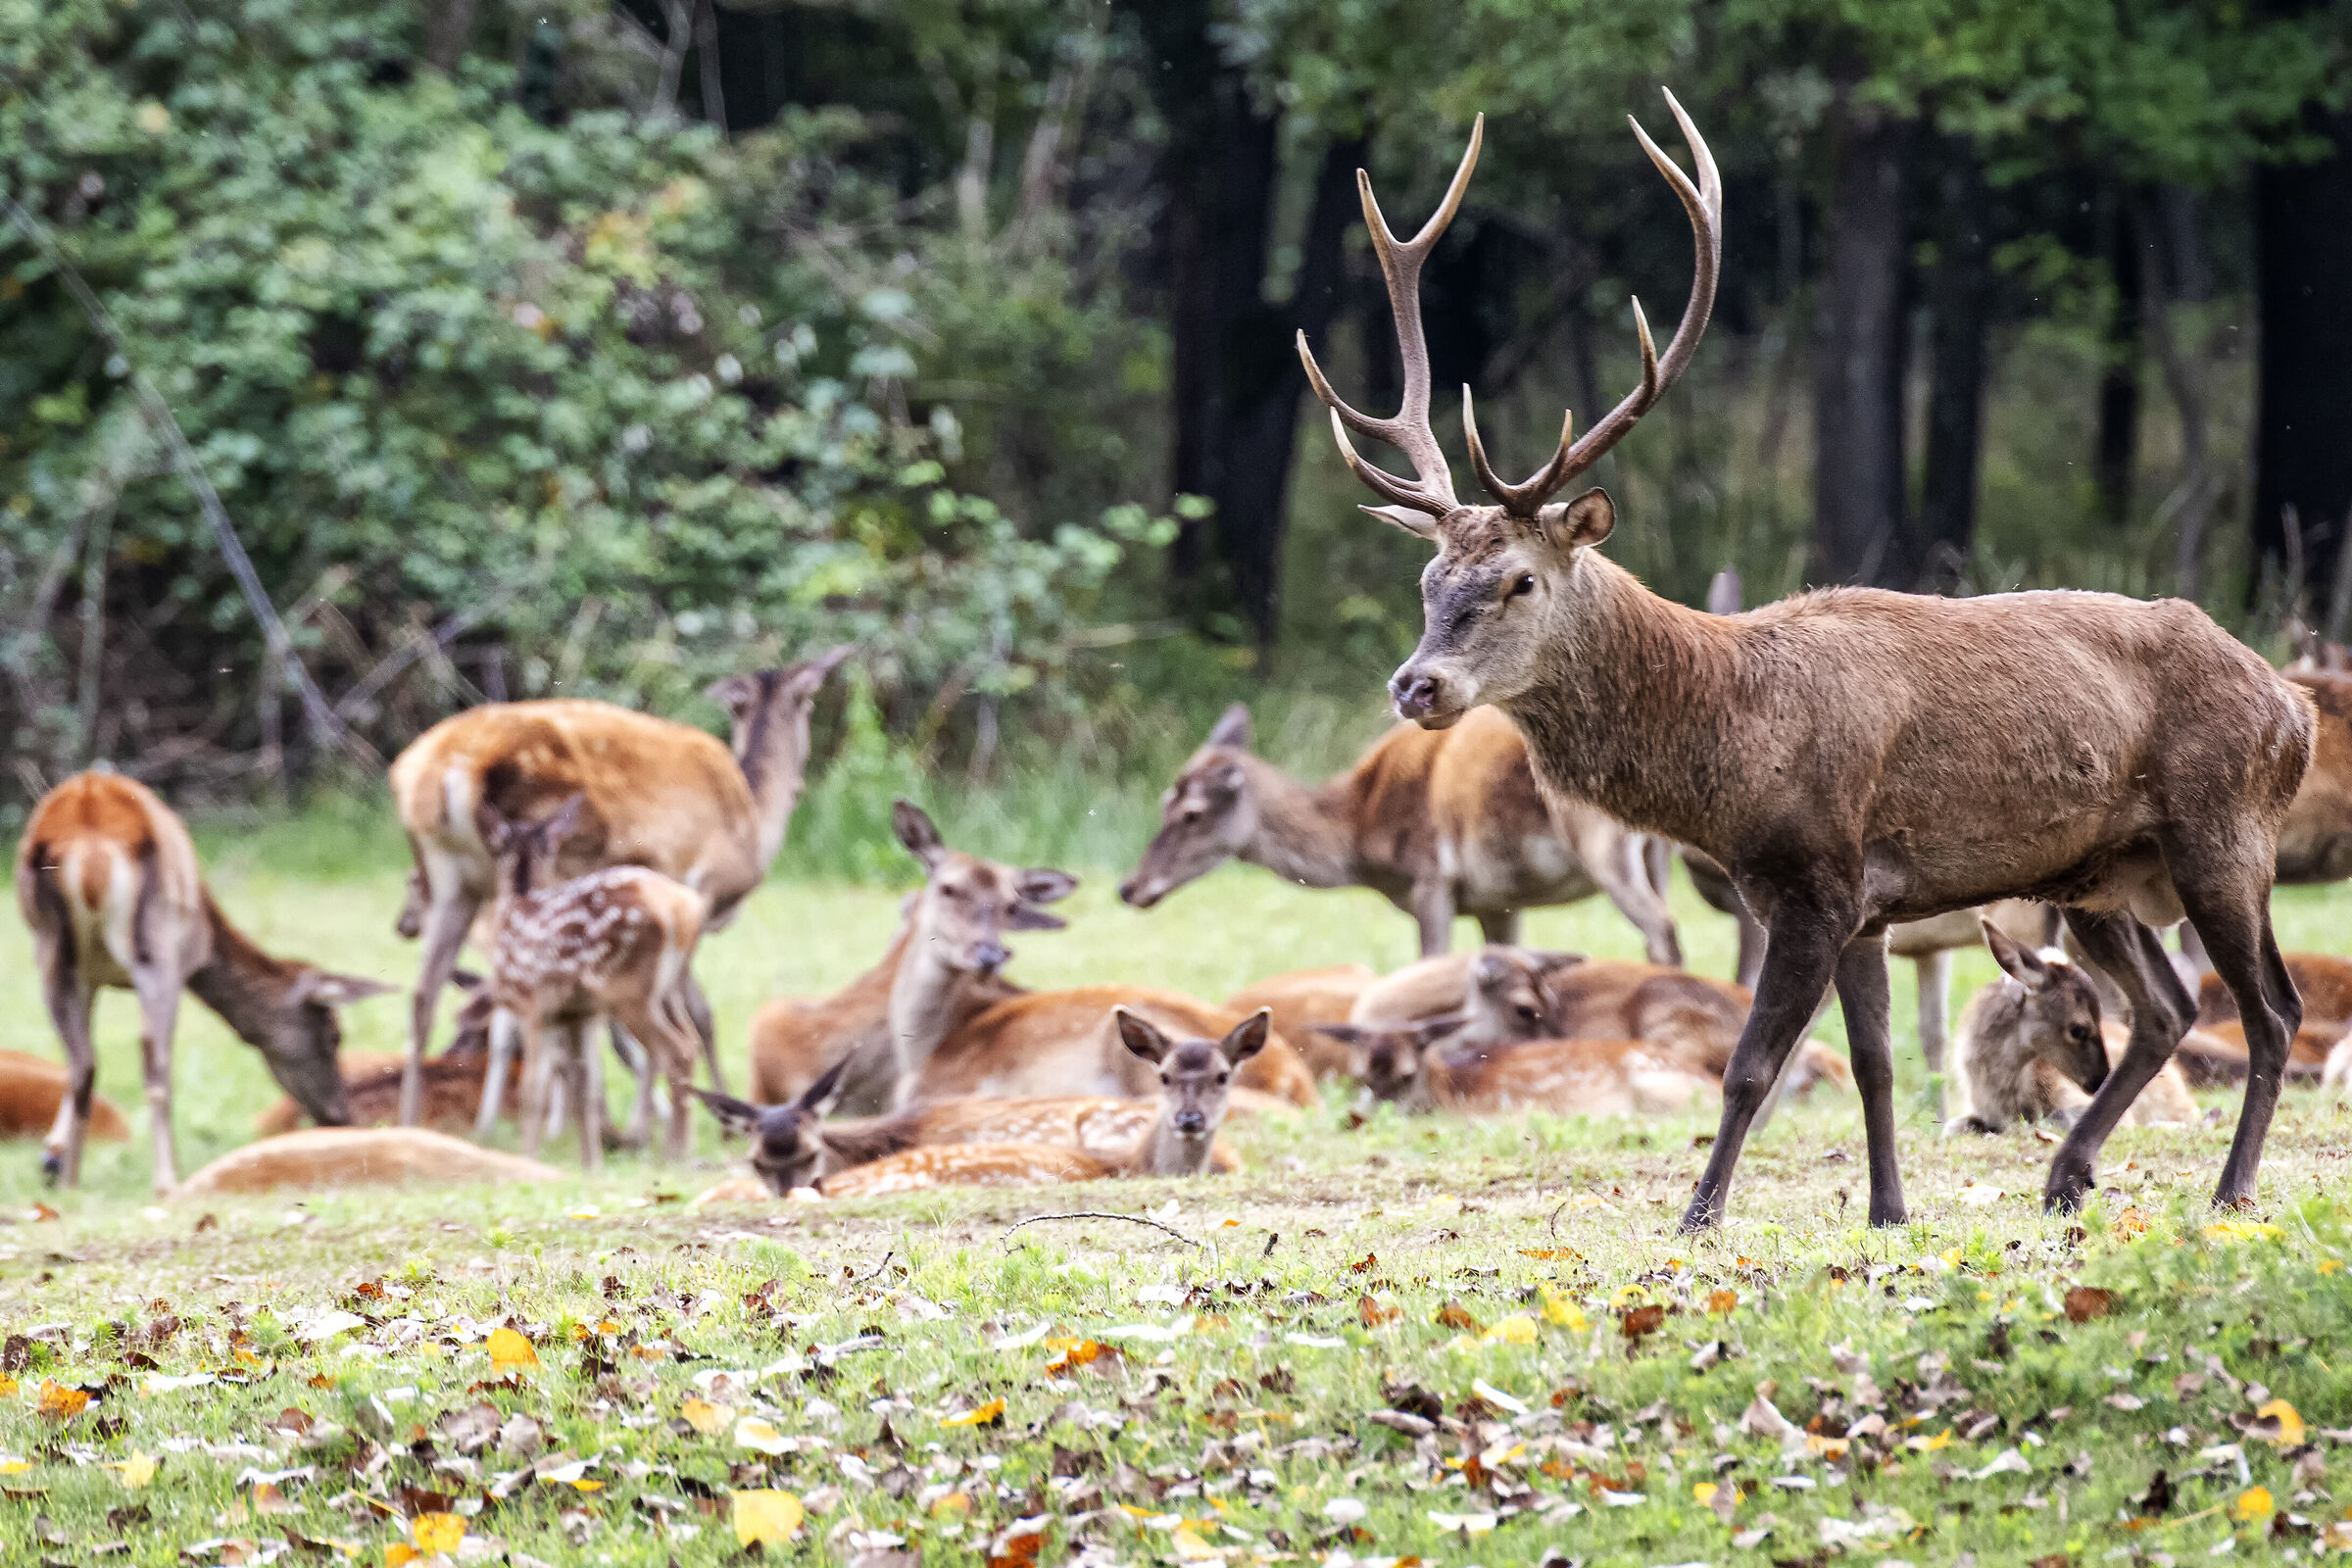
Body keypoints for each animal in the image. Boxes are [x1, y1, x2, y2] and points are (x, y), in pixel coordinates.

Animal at [14, 771, 393, 1190]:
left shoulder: (86, 976)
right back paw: (165, 1179)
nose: (339, 1116)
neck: (207, 937)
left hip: (49, 950)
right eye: (334, 1035)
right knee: (152, 1062)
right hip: (156, 950)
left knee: (83, 1062)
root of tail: (89, 843)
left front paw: (52, 1156)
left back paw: (70, 1180)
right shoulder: (176, 962)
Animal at [390, 645, 849, 1128]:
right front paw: (710, 1112)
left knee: (425, 998)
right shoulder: (696, 890)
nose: (801, 784)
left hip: (452, 880)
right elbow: (696, 1012)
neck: (755, 828)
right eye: (810, 701)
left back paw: (423, 1122)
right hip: (548, 863)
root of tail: (450, 768)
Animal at [475, 795, 708, 1167]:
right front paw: (592, 1164)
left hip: (630, 990)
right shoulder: (578, 1013)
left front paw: (529, 1157)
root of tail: (682, 909)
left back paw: (675, 1151)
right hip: (670, 988)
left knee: (678, 1051)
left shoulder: (533, 1005)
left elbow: (533, 1089)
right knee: (690, 1039)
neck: (514, 911)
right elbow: (584, 1086)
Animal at [1121, 703, 1678, 961]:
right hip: (1659, 851)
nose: (1129, 887)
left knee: (1663, 929)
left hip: (1602, 840)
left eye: (1192, 814)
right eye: (1163, 801)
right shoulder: (1499, 900)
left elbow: (1431, 962)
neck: (1364, 832)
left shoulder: (1432, 877)